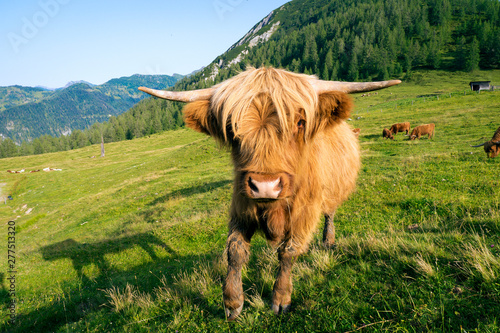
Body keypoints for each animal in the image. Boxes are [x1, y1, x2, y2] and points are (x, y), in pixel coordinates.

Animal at [139, 67, 400, 320]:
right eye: (231, 127)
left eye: (300, 122)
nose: (265, 185)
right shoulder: (241, 208)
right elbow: (235, 251)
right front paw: (233, 302)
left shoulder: (304, 214)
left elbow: (288, 253)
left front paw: (280, 299)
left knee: (330, 214)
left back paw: (328, 240)